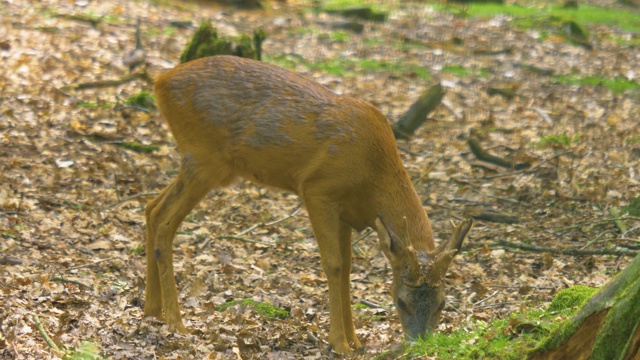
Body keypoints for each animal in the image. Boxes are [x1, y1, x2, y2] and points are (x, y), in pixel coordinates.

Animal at [146, 54, 476, 352]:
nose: (420, 344)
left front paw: (356, 341)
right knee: (165, 221)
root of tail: (160, 80)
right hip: (203, 159)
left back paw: (151, 309)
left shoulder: (347, 212)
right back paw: (176, 321)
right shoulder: (318, 191)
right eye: (400, 301)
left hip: (205, 165)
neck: (372, 174)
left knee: (152, 208)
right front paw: (339, 344)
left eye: (443, 304)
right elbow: (333, 265)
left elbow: (348, 269)